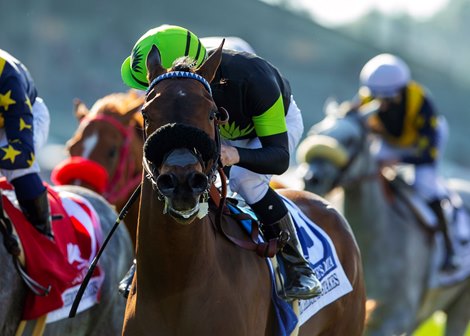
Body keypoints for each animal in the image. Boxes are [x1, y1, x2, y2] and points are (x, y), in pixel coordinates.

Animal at [122, 40, 368, 334]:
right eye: (146, 113)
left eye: (212, 114)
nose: (182, 181)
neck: (175, 287)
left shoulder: (264, 90)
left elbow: (279, 155)